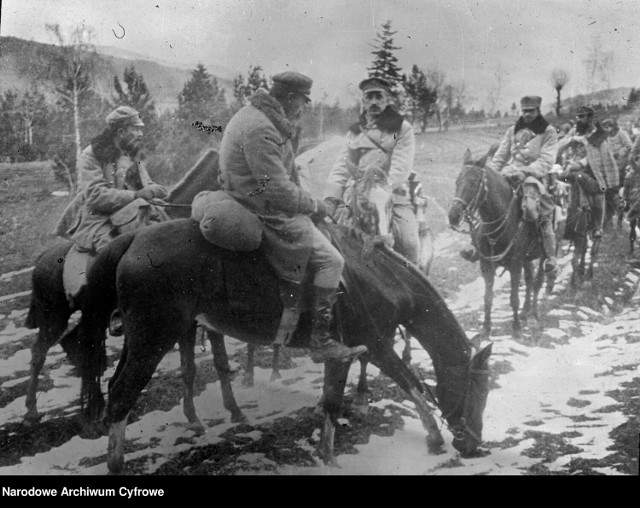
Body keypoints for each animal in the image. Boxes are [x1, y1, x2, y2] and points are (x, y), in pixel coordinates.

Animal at [69, 217, 490, 472]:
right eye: (479, 389)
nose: (473, 445)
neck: (376, 277)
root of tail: (134, 239)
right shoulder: (374, 345)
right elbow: (411, 384)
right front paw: (434, 438)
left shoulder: (352, 352)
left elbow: (336, 399)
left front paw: (327, 454)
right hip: (153, 340)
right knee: (122, 395)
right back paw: (117, 465)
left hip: (141, 340)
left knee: (115, 386)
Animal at [450, 152, 552, 342]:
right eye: (457, 181)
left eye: (474, 182)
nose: (453, 216)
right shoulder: (486, 266)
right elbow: (488, 298)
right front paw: (485, 330)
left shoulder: (515, 265)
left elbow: (514, 298)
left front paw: (517, 329)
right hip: (526, 259)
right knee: (529, 280)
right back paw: (525, 313)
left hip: (544, 255)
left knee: (537, 283)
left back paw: (533, 316)